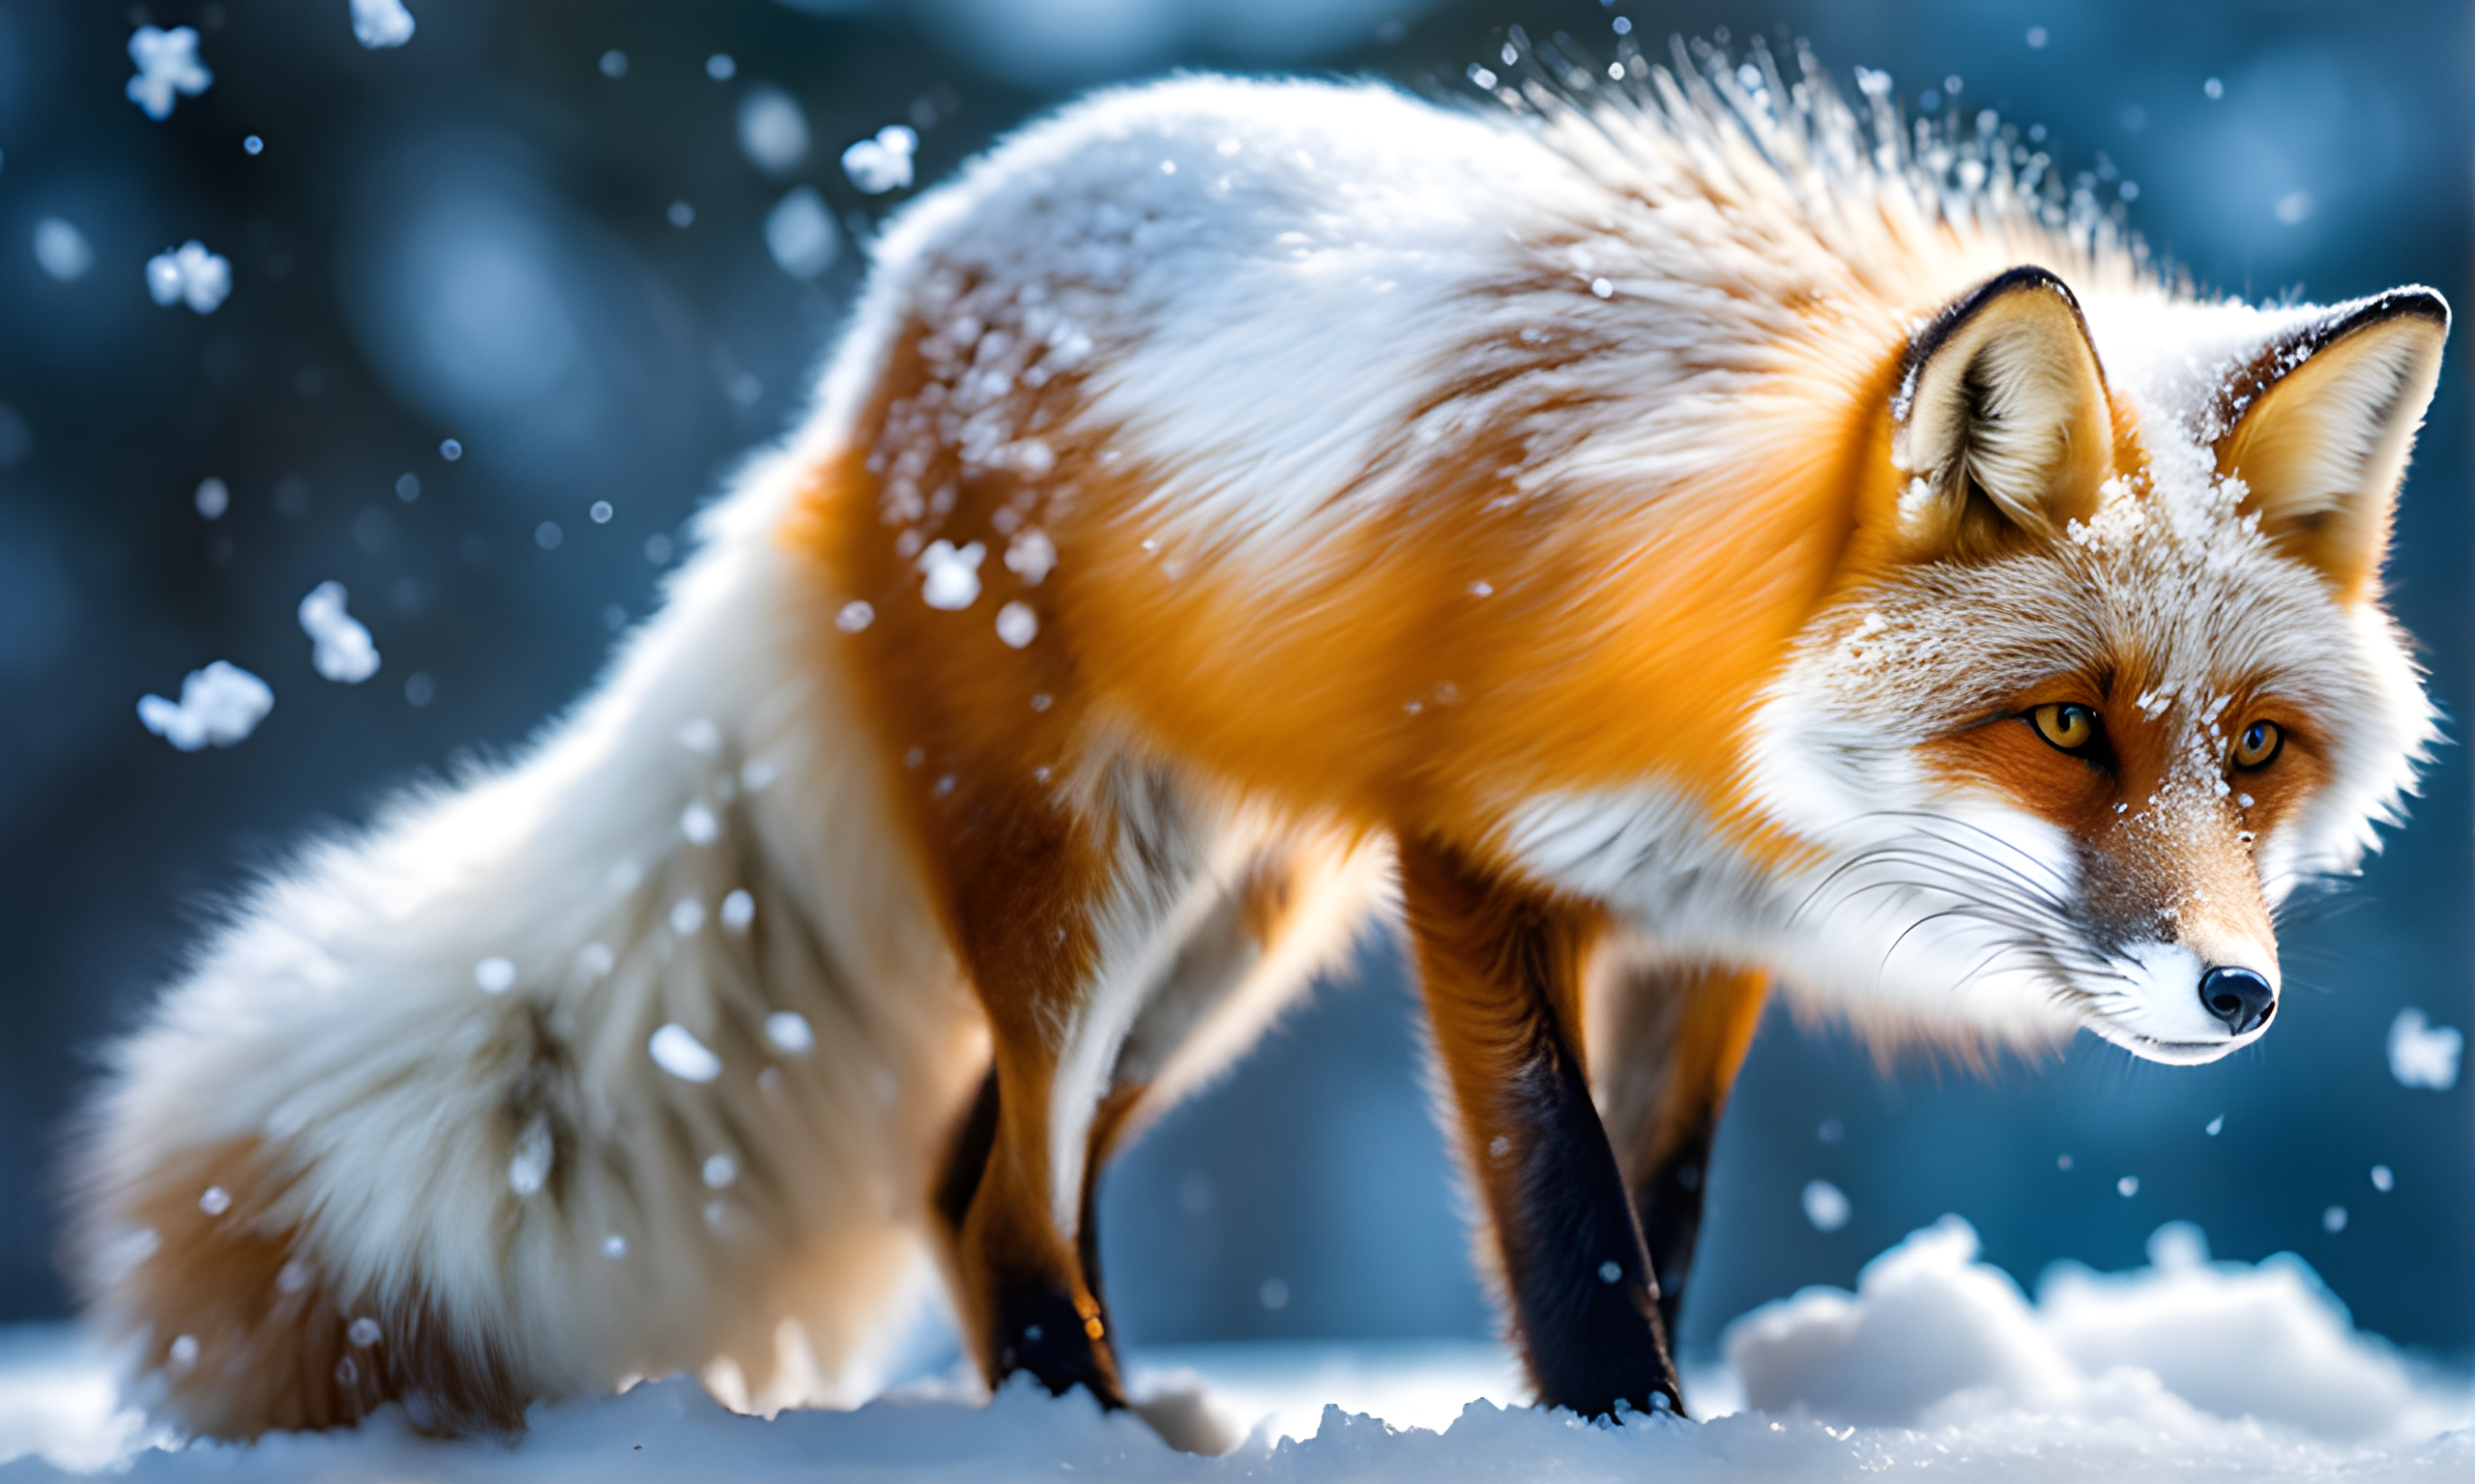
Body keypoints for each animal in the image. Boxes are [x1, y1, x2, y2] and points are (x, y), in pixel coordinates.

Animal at [69, 42, 2447, 1450]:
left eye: (2248, 751)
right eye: (2060, 723)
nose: (2233, 993)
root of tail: (900, 288)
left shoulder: (1702, 940)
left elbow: (1662, 1213)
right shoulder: (1472, 862)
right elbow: (1568, 1217)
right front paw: (1613, 1427)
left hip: (1231, 936)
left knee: (959, 1180)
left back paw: (1107, 1422)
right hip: (1090, 897)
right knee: (1003, 1192)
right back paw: (1066, 1435)